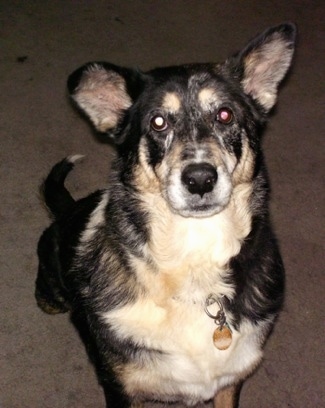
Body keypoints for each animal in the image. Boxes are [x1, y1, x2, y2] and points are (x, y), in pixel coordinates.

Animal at [36, 23, 296, 408]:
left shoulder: (230, 380)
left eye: (225, 115)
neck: (194, 262)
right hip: (52, 296)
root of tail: (67, 209)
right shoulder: (121, 389)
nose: (200, 179)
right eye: (158, 122)